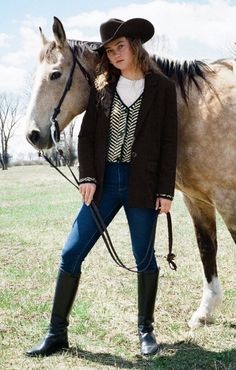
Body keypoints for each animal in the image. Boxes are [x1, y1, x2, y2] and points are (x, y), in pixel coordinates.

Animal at [24, 17, 235, 330]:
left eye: (55, 74)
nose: (33, 135)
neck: (195, 109)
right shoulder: (197, 200)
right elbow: (207, 248)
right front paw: (205, 312)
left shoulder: (227, 199)